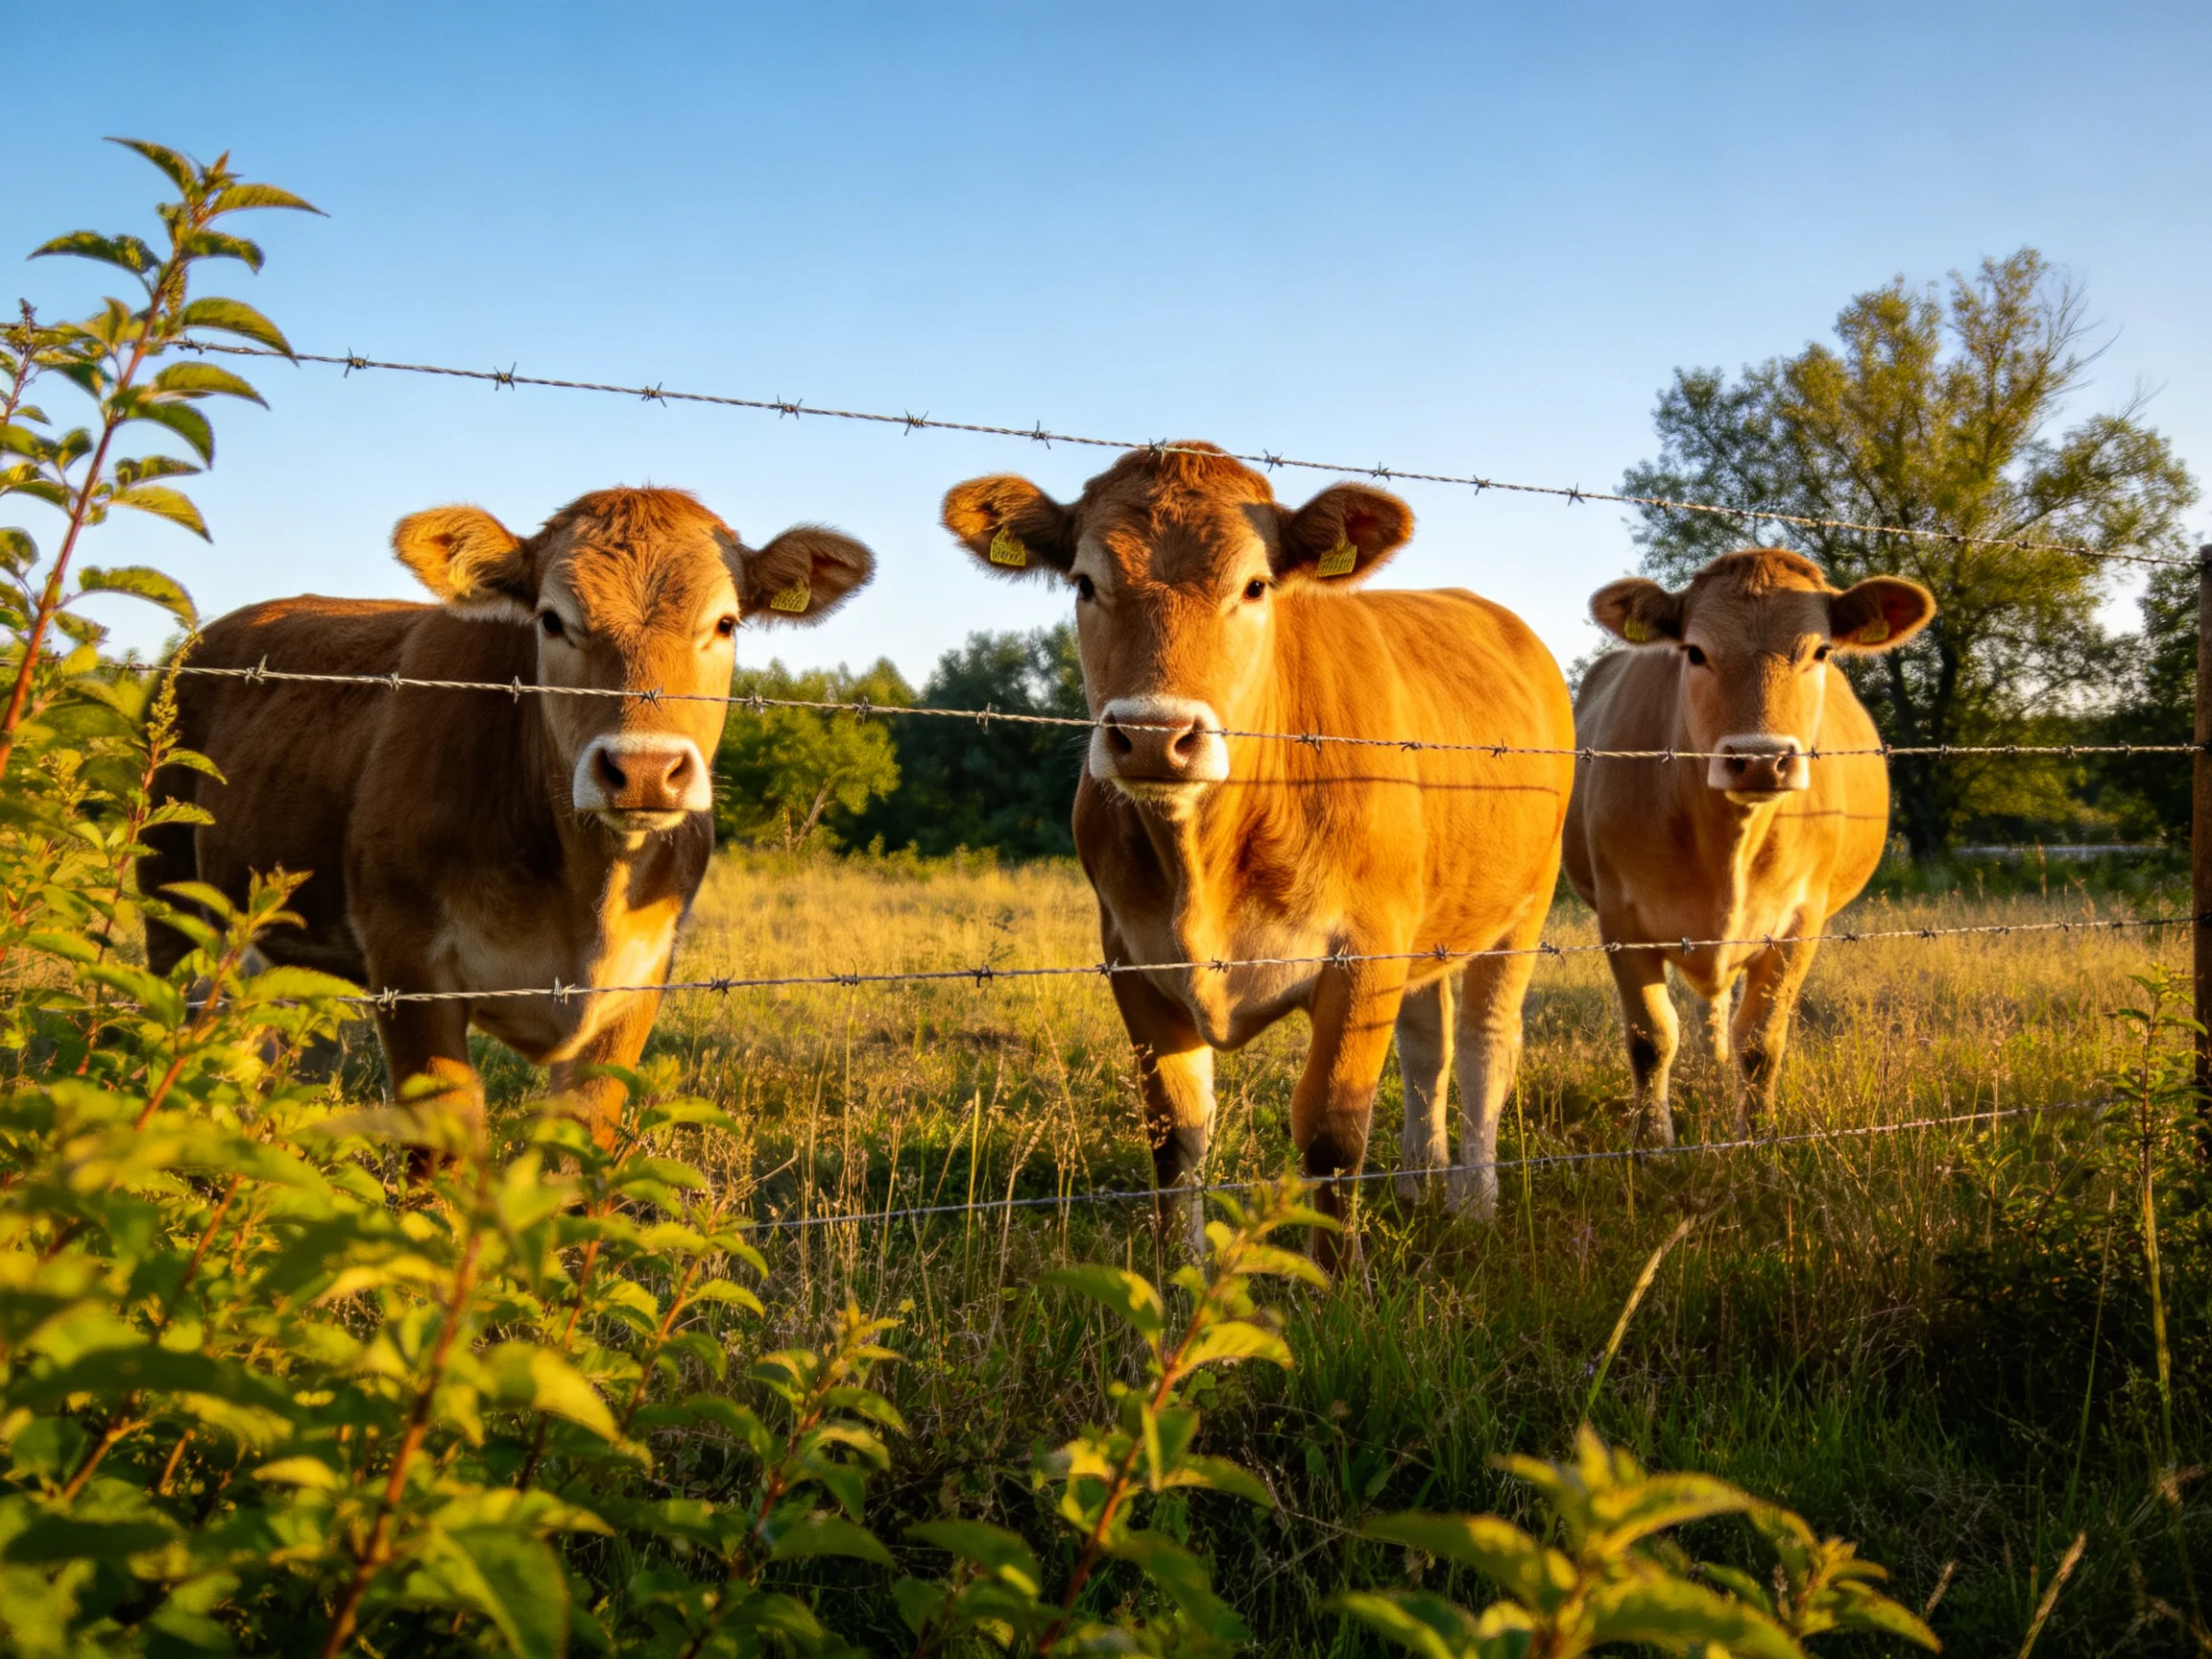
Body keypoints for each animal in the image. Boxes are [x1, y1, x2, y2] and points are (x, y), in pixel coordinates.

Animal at [141, 487, 875, 1151]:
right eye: (551, 620)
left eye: (725, 624)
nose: (643, 768)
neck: (586, 898)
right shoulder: (409, 969)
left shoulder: (640, 979)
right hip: (168, 895)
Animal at [941, 443, 1575, 1259]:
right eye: (1085, 583)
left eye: (1254, 585)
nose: (1153, 735)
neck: (1204, 862)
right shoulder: (1132, 959)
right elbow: (1174, 1132)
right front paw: (1177, 1266)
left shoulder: (1364, 952)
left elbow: (1332, 1133)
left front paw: (1339, 1277)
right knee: (1426, 1046)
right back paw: (1416, 1185)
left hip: (1526, 904)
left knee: (1483, 1047)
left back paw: (1473, 1202)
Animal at [1564, 548, 1935, 1145]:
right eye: (1694, 651)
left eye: (1820, 651)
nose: (1760, 759)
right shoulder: (1621, 917)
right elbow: (1651, 1038)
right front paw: (1651, 1140)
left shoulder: (1800, 920)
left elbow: (1761, 1041)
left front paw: (1757, 1136)